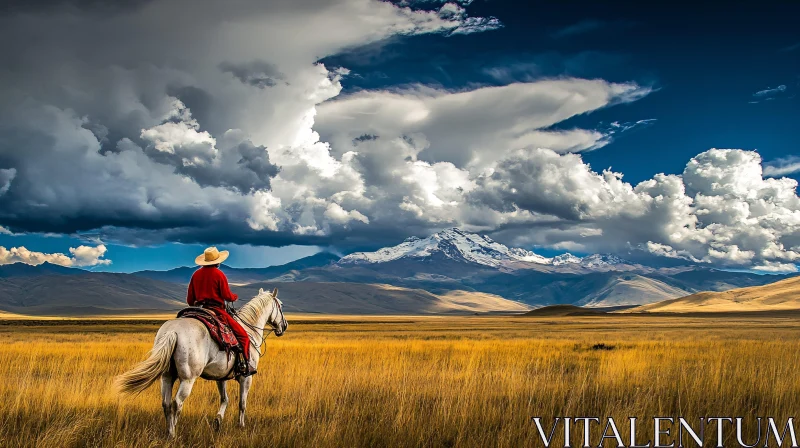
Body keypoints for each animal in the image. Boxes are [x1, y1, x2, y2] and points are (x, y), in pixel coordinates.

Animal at [115, 288, 284, 438]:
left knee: (166, 403)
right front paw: (241, 426)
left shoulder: (221, 376)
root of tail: (172, 331)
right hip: (188, 378)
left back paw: (169, 431)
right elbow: (242, 403)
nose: (283, 326)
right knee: (177, 403)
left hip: (167, 376)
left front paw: (218, 421)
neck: (249, 328)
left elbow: (225, 398)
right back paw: (173, 434)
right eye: (281, 305)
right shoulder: (246, 377)